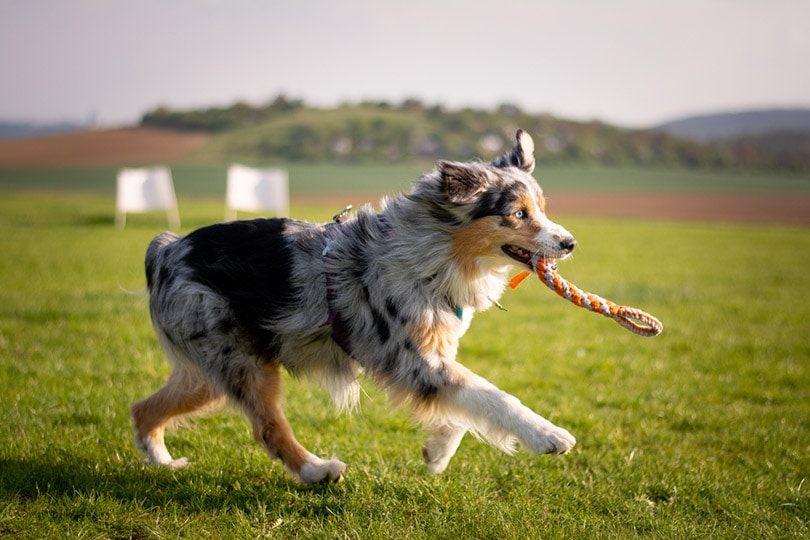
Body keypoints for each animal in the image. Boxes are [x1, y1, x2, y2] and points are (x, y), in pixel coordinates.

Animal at [131, 129, 576, 484]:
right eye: (518, 213)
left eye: (542, 209)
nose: (570, 242)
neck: (432, 254)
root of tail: (168, 248)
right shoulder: (413, 360)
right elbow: (492, 395)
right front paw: (547, 435)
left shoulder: (434, 358)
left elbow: (465, 408)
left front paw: (436, 452)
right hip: (239, 360)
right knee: (268, 428)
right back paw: (316, 471)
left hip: (209, 374)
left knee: (143, 408)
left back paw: (163, 462)